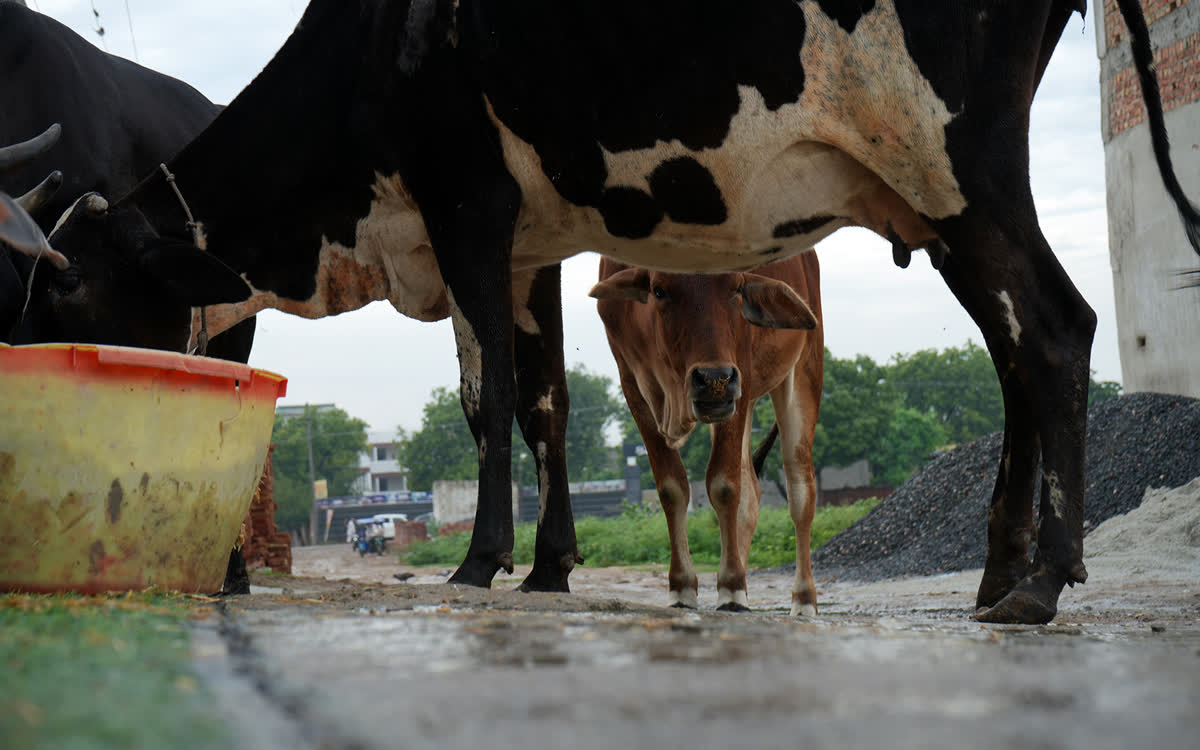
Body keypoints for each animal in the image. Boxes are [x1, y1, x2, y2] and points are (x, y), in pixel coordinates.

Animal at [592, 254, 823, 614]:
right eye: (659, 290)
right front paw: (683, 587)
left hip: (801, 369)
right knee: (751, 493)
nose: (714, 378)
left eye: (738, 287)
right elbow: (672, 488)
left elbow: (724, 485)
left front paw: (731, 588)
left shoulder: (738, 376)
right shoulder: (632, 384)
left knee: (801, 492)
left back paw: (802, 597)